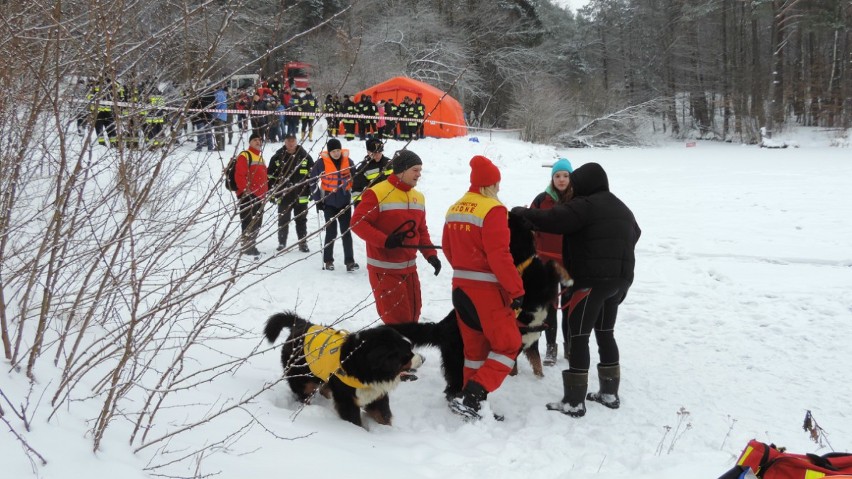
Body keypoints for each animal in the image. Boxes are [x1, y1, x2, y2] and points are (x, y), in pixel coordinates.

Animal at [266, 314, 422, 430]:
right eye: (407, 354)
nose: (423, 359)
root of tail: (302, 324)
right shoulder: (347, 400)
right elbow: (355, 421)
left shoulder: (377, 395)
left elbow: (383, 415)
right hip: (302, 379)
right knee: (303, 392)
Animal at [390, 216, 568, 400]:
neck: (521, 260)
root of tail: (441, 326)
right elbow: (552, 265)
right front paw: (568, 277)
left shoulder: (532, 337)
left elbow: (537, 364)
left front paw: (540, 378)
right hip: (458, 357)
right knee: (453, 385)